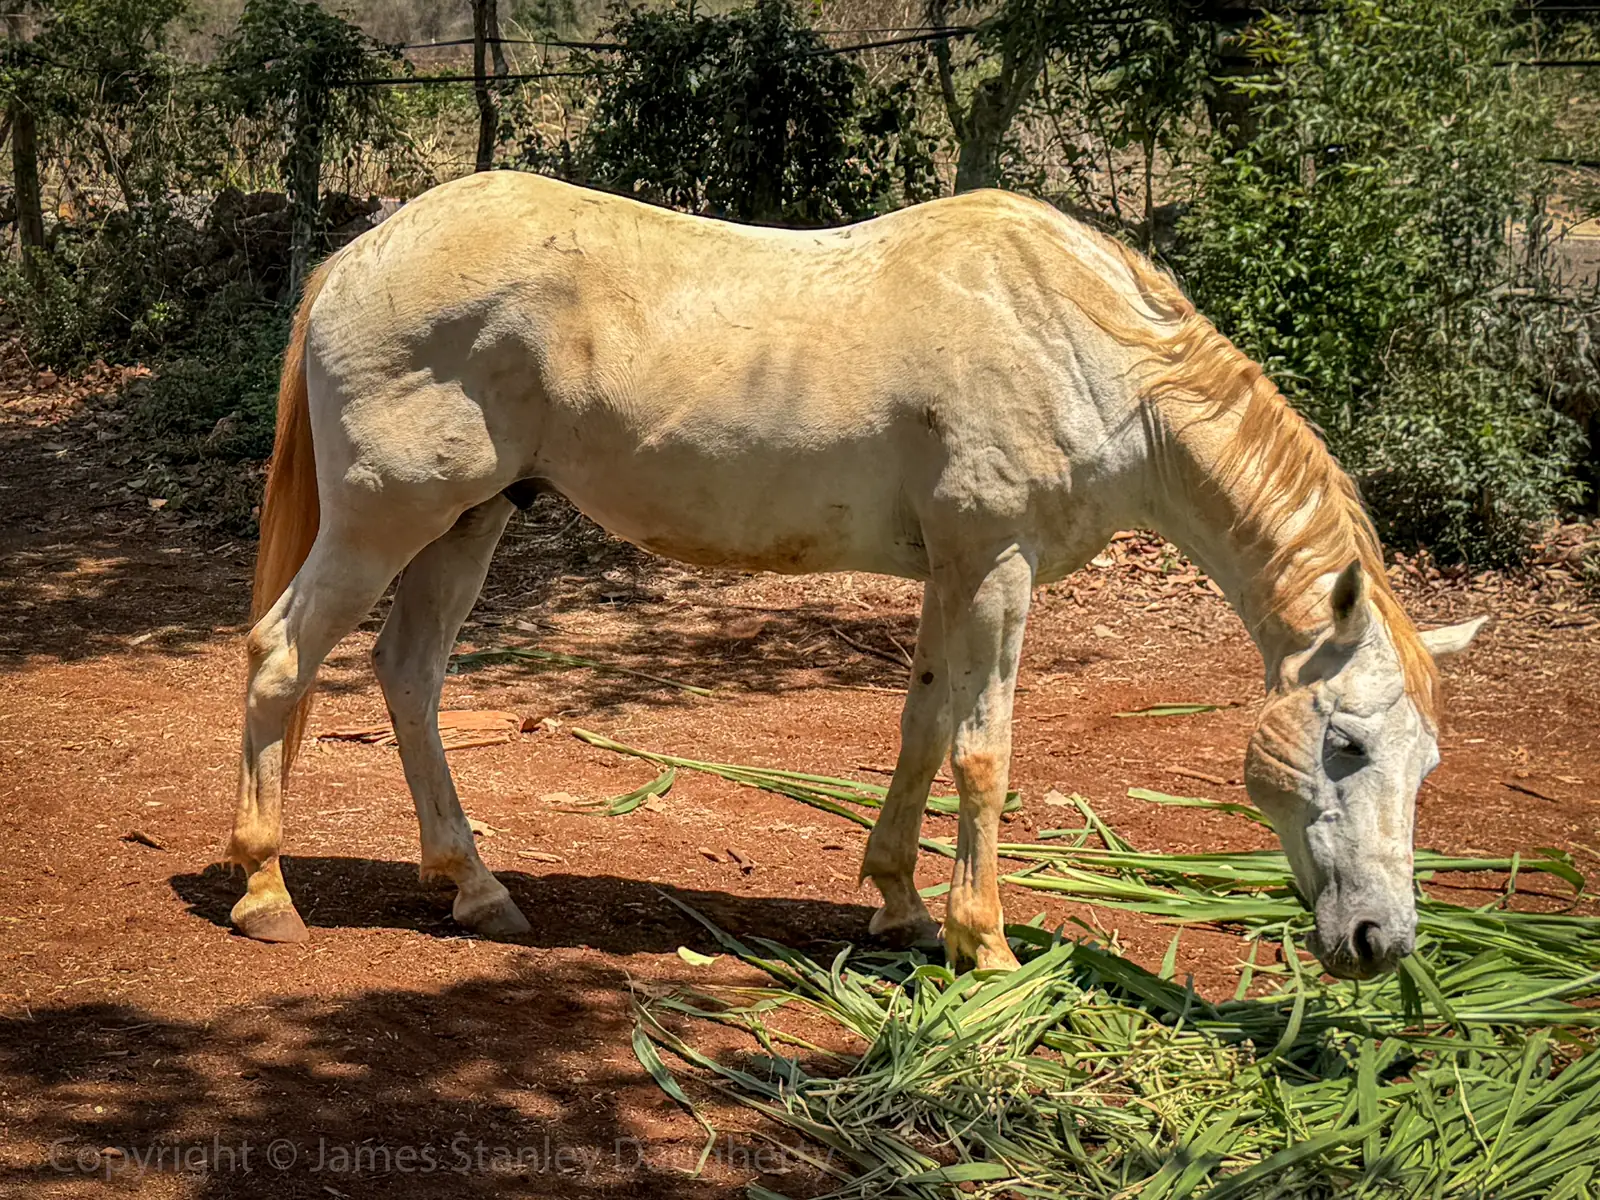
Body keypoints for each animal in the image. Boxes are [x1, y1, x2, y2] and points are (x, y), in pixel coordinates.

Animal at [226, 171, 1484, 979]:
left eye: (1425, 763)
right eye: (1346, 744)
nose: (1381, 945)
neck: (1081, 346)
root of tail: (359, 256)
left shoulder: (955, 574)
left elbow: (922, 732)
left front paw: (902, 906)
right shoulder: (999, 570)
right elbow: (983, 754)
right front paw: (984, 941)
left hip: (468, 520)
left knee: (408, 674)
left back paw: (474, 887)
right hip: (389, 519)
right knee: (283, 658)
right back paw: (265, 894)